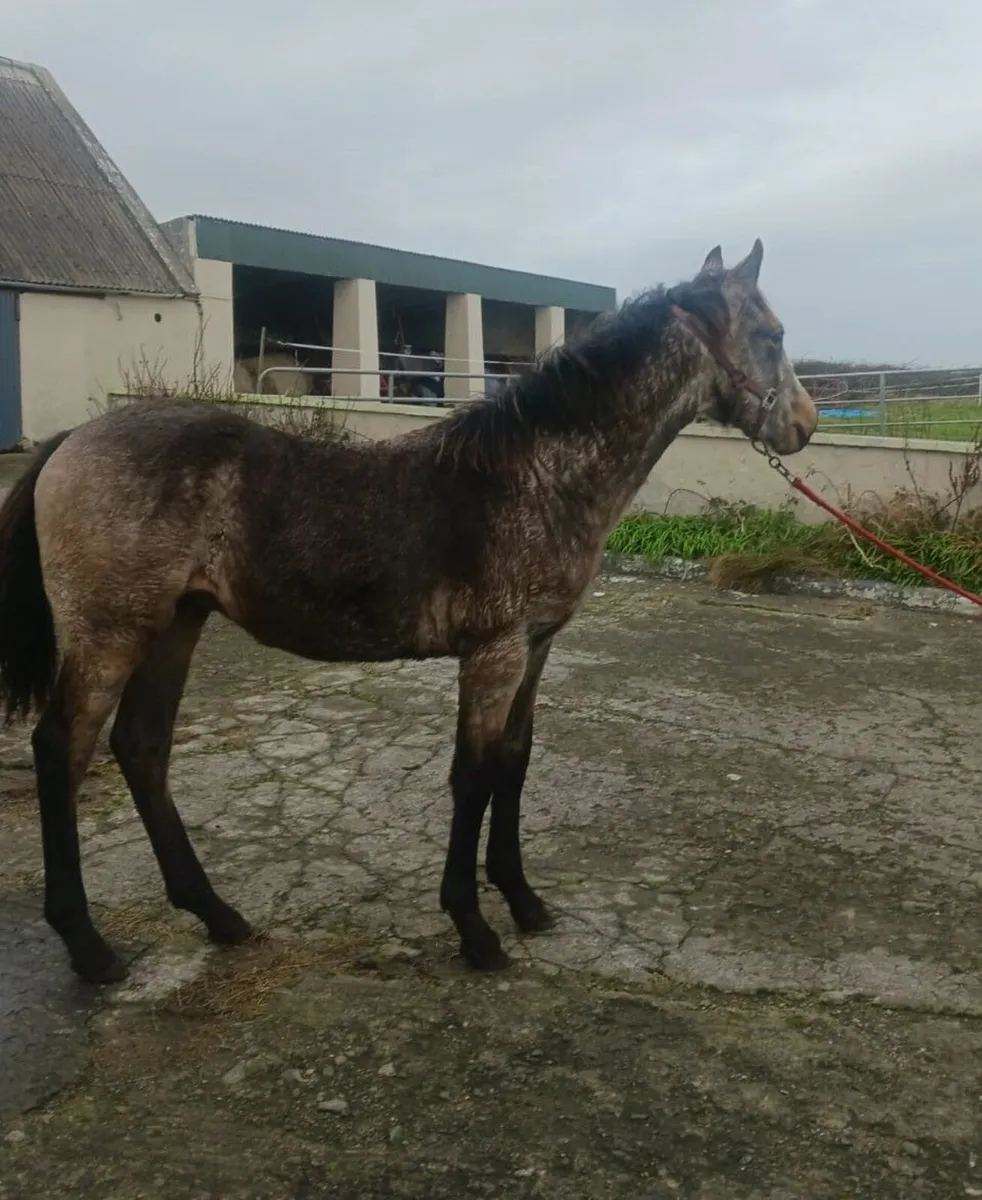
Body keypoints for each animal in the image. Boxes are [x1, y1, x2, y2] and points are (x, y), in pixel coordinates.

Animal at [0, 240, 817, 985]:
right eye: (771, 335)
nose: (806, 426)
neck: (534, 476)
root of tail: (69, 441)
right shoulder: (493, 654)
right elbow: (473, 777)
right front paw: (475, 930)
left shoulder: (535, 650)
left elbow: (514, 765)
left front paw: (524, 902)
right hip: (111, 635)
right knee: (62, 750)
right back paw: (89, 947)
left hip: (176, 623)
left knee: (142, 748)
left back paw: (219, 916)